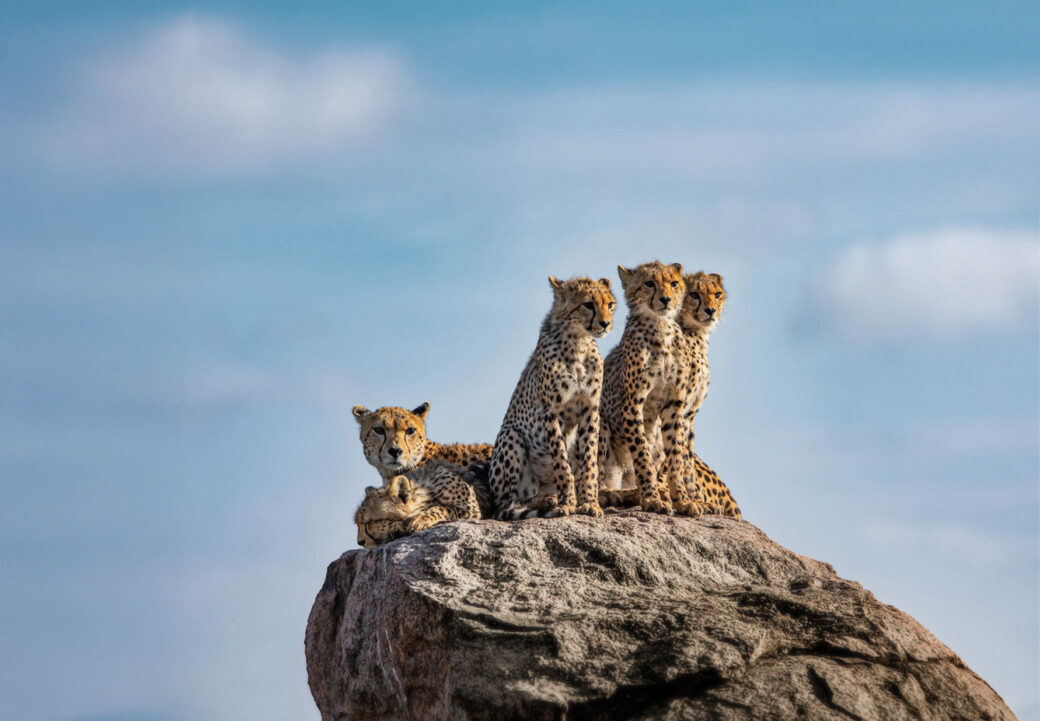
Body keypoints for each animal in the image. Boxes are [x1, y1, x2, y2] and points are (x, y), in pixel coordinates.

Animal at [488, 275, 615, 519]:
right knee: (506, 504)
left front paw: (590, 502)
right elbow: (562, 463)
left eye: (610, 304)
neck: (578, 343)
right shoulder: (552, 412)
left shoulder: (590, 410)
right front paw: (567, 504)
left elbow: (589, 463)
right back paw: (547, 500)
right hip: (511, 436)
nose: (606, 323)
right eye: (588, 304)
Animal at [599, 260, 709, 516]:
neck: (661, 328)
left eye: (674, 283)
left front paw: (683, 500)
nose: (666, 299)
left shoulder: (674, 404)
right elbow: (642, 454)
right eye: (649, 283)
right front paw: (651, 498)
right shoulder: (633, 403)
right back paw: (611, 495)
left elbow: (676, 456)